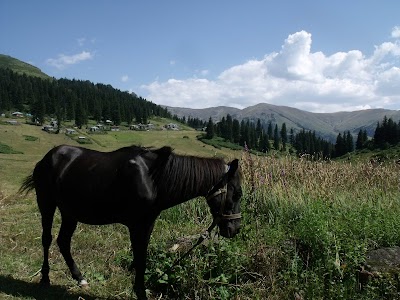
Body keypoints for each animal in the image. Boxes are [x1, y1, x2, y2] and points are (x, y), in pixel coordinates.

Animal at [20, 144, 242, 298]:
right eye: (236, 194)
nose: (235, 229)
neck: (154, 179)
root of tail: (47, 158)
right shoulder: (136, 225)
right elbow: (140, 259)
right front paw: (141, 292)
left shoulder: (147, 224)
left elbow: (140, 258)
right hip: (46, 203)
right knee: (47, 239)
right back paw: (45, 278)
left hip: (70, 212)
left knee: (63, 241)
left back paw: (79, 277)